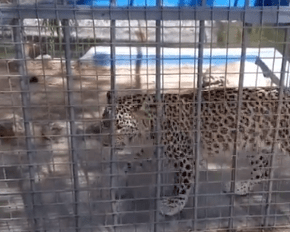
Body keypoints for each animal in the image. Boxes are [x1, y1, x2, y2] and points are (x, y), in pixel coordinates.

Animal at [98, 86, 290, 216]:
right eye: (105, 123)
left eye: (119, 126)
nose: (106, 143)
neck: (147, 130)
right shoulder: (152, 152)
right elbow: (130, 164)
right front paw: (117, 182)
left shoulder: (185, 156)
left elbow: (182, 182)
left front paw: (173, 204)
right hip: (257, 145)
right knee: (262, 172)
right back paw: (239, 187)